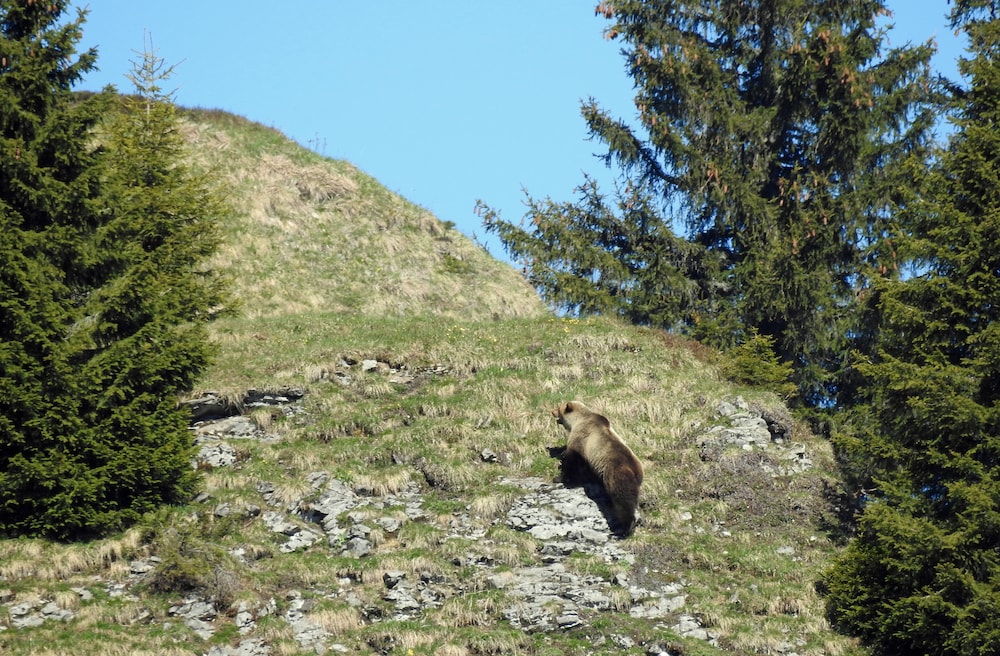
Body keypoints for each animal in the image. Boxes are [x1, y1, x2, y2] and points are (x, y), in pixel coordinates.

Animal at [551, 401, 643, 536]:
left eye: (559, 408)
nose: (552, 411)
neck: (578, 420)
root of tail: (636, 470)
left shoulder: (581, 439)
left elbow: (573, 461)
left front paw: (560, 477)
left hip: (616, 475)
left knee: (623, 500)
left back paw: (624, 528)